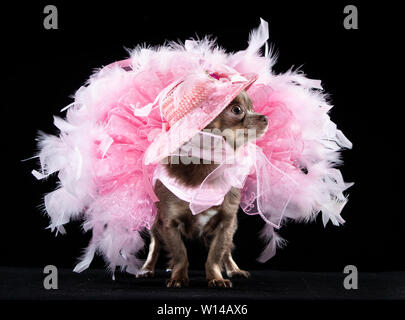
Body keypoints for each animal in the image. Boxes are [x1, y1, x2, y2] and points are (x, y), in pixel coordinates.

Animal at [137, 89, 268, 288]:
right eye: (237, 110)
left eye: (252, 107)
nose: (265, 118)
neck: (210, 168)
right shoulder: (169, 223)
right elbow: (180, 253)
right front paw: (178, 277)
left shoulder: (226, 223)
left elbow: (216, 254)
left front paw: (216, 278)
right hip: (155, 222)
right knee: (155, 244)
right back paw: (147, 269)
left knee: (227, 250)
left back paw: (234, 269)